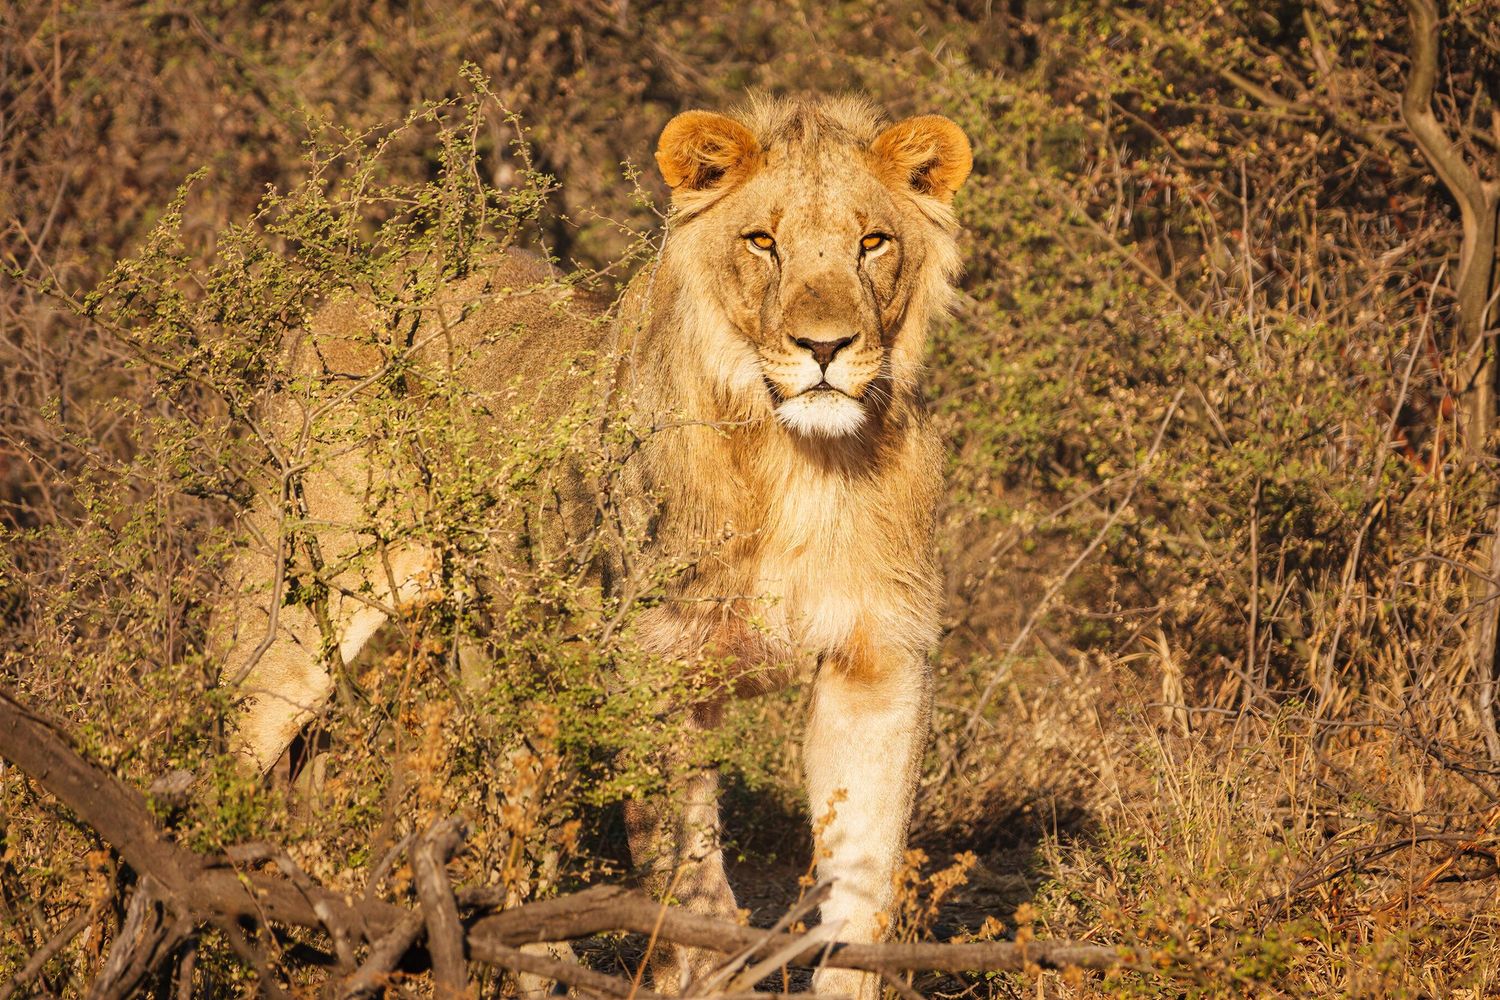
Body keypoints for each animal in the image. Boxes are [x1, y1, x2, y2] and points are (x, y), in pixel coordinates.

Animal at [218, 94, 971, 999]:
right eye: (763, 242)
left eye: (873, 242)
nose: (823, 348)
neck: (804, 462)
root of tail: (349, 286)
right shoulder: (656, 665)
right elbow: (693, 893)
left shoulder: (879, 661)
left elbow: (860, 891)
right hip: (294, 607)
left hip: (511, 662)